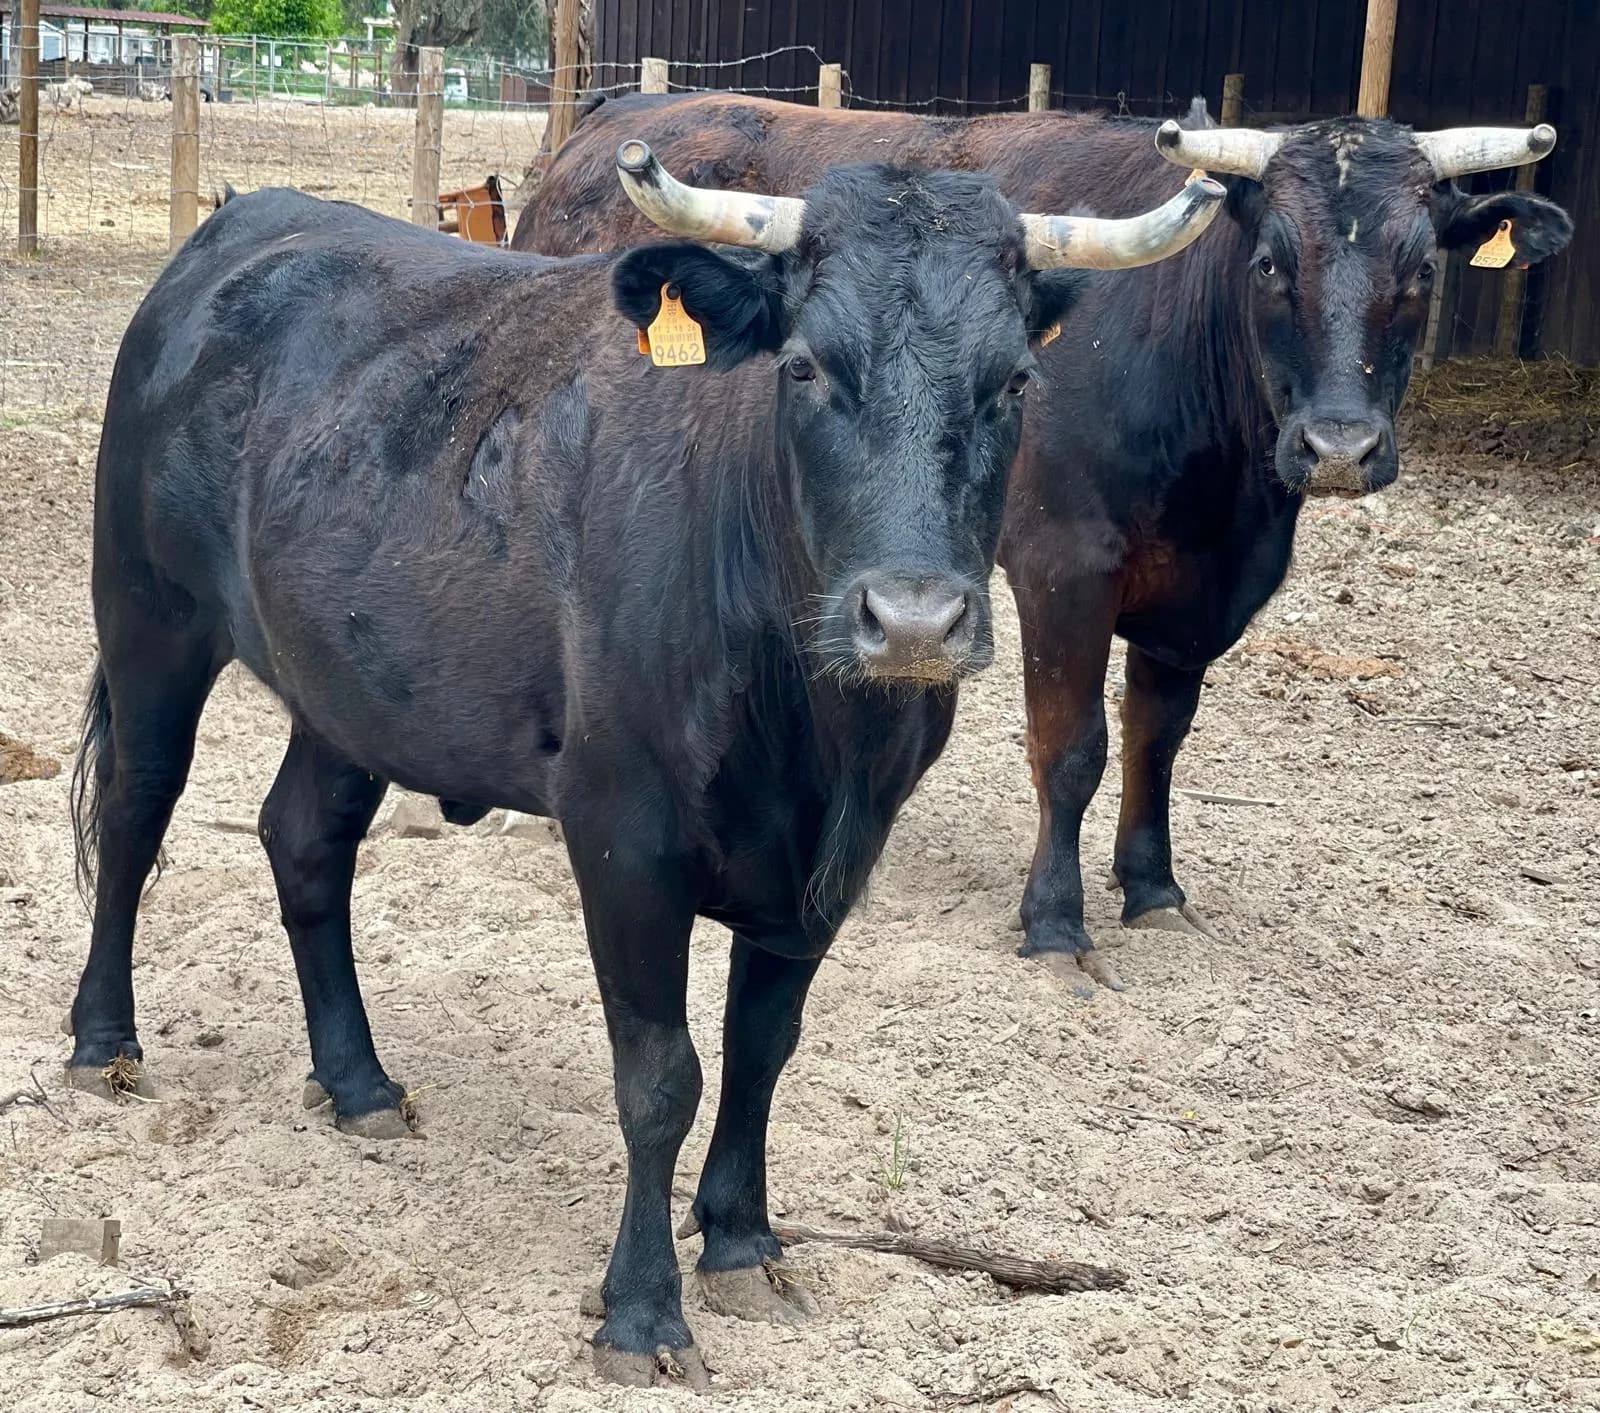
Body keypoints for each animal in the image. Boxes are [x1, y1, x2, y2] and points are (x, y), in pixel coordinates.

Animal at [64, 147, 1220, 1386]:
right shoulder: (621, 833)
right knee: (135, 811)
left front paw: (744, 1243)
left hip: (346, 687)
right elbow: (662, 1076)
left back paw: (358, 1081)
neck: (815, 737)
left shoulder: (835, 861)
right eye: (804, 367)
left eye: (1012, 383)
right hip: (146, 614)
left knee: (305, 840)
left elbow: (762, 1050)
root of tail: (244, 223)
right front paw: (642, 1308)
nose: (911, 622)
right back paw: (103, 1045)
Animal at [515, 93, 1574, 992]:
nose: (1340, 448)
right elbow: (1073, 746)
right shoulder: (1064, 567)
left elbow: (1159, 737)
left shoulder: (1197, 594)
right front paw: (1057, 921)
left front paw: (1153, 888)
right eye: (1272, 262)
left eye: (1423, 268)